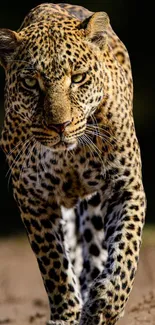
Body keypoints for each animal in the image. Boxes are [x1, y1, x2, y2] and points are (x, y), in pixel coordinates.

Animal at [0, 2, 147, 324]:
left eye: (78, 78)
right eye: (31, 83)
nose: (60, 126)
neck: (70, 155)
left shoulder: (125, 187)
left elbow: (126, 252)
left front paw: (107, 303)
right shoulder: (32, 198)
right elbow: (54, 263)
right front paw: (66, 314)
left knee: (96, 253)